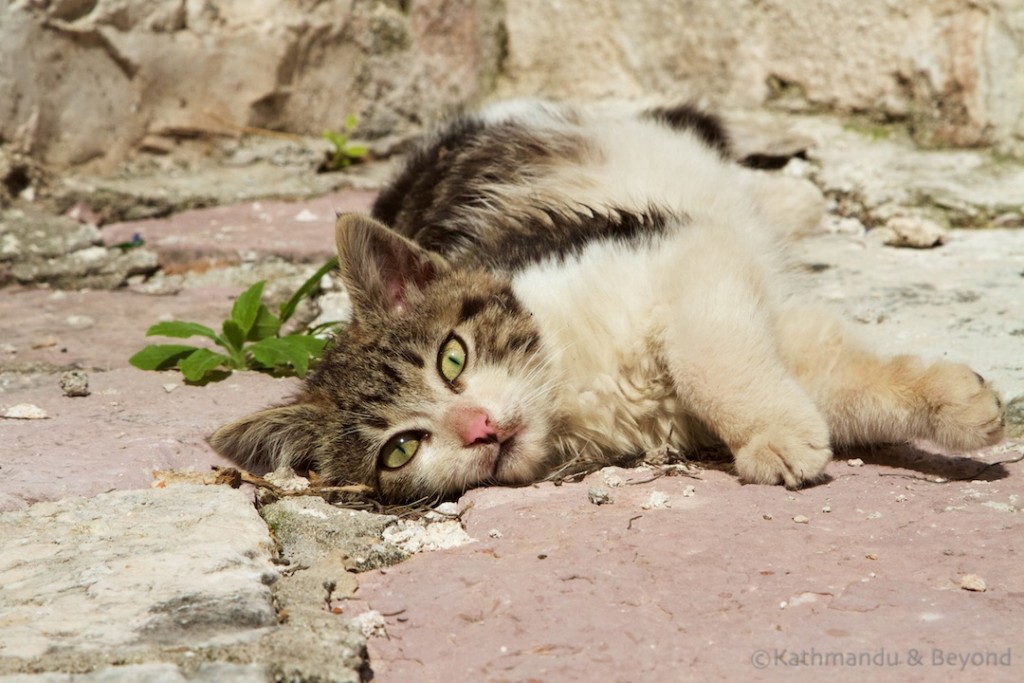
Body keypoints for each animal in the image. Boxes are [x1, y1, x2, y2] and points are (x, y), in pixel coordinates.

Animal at [209, 97, 1007, 501]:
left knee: (701, 131)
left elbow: (712, 357)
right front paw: (953, 403)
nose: (479, 430)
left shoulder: (687, 254)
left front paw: (778, 433)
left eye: (452, 358)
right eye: (401, 448)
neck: (574, 383)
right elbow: (829, 377)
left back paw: (795, 181)